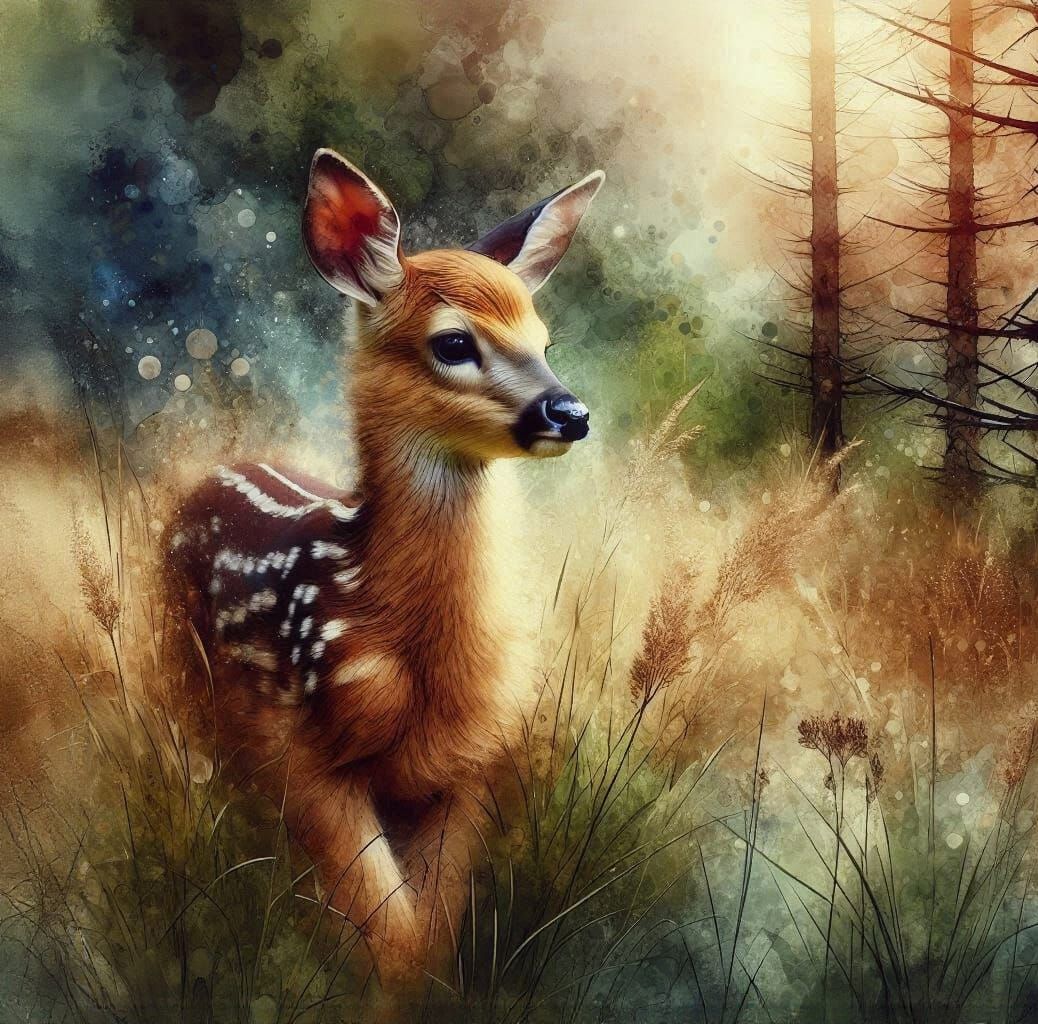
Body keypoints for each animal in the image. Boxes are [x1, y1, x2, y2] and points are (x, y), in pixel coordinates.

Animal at [164, 148, 603, 982]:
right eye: (454, 343)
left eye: (544, 341)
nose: (569, 413)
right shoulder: (305, 747)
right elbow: (388, 933)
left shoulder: (469, 765)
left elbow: (428, 934)